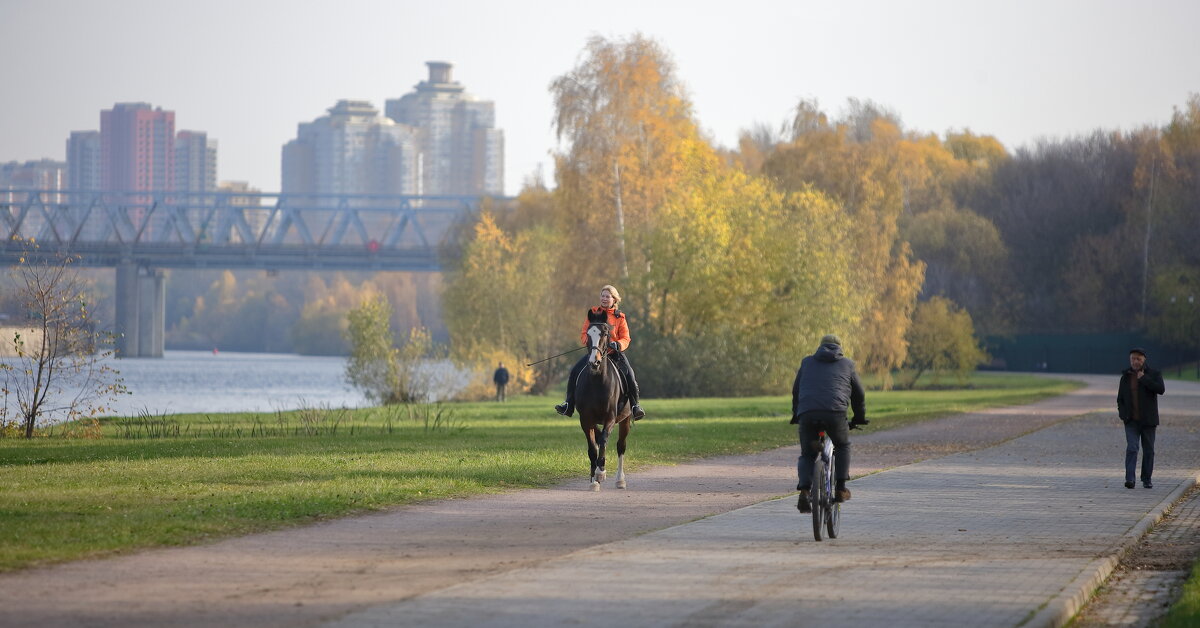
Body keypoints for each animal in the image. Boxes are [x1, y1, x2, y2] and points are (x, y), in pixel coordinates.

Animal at [576, 309, 633, 492]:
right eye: (588, 334)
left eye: (606, 333)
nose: (594, 362)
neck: (597, 382)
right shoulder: (586, 420)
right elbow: (593, 448)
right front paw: (594, 480)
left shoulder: (610, 418)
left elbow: (603, 441)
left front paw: (600, 473)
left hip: (625, 420)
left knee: (620, 446)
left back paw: (620, 480)